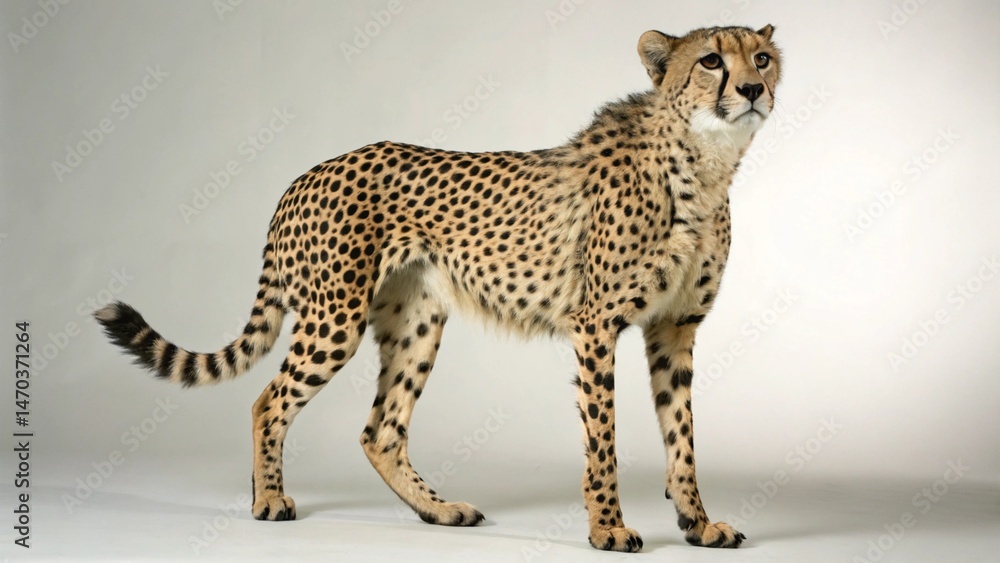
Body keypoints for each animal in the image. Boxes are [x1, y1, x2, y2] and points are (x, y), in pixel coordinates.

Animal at [96, 24, 781, 552]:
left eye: (762, 57)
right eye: (712, 60)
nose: (753, 89)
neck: (704, 162)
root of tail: (308, 173)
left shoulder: (674, 329)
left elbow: (681, 435)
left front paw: (698, 524)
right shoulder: (596, 326)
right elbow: (603, 439)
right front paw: (608, 529)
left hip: (417, 323)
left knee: (380, 431)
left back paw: (439, 510)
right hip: (333, 319)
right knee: (269, 401)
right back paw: (270, 500)